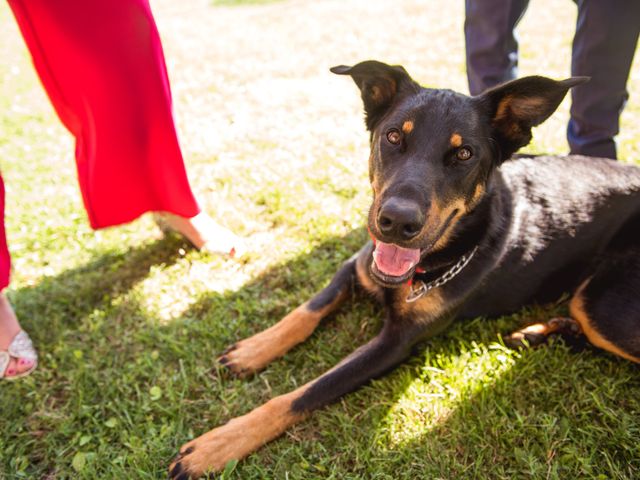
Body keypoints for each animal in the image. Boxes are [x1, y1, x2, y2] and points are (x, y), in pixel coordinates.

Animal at [169, 62, 640, 478]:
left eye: (464, 153)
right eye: (394, 136)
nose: (396, 222)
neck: (433, 263)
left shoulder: (396, 343)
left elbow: (303, 394)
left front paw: (216, 445)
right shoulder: (356, 265)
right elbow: (306, 311)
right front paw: (253, 350)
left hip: (601, 303)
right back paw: (538, 332)